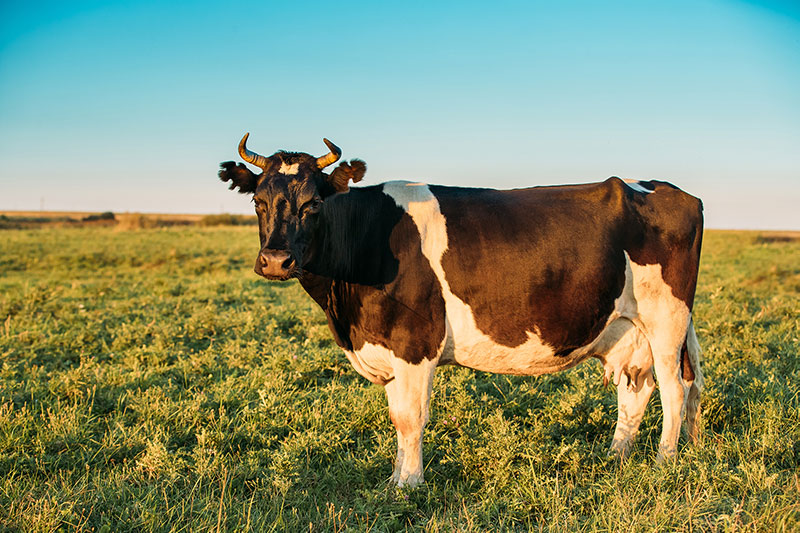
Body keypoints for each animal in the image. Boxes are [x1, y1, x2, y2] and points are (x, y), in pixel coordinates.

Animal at [219, 134, 708, 486]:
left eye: (313, 203)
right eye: (257, 201)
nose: (276, 261)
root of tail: (667, 188)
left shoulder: (415, 343)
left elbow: (411, 417)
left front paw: (409, 485)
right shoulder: (388, 348)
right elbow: (397, 416)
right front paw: (395, 478)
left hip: (667, 321)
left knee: (673, 389)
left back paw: (664, 463)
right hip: (626, 328)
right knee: (637, 390)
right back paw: (616, 457)